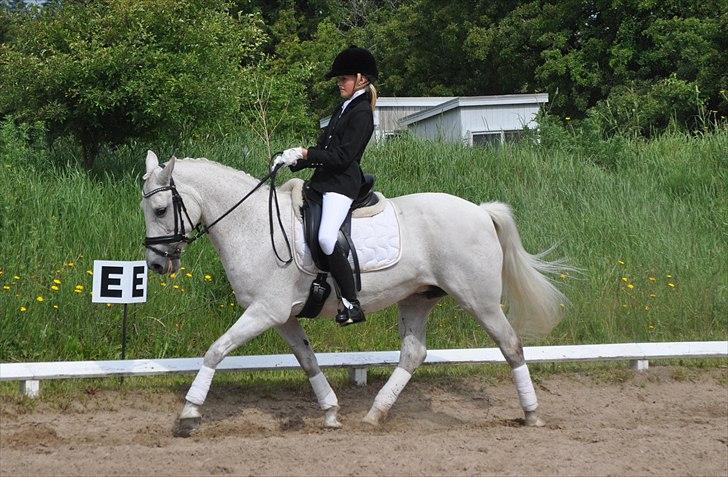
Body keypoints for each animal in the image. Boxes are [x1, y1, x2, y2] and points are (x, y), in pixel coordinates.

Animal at [139, 150, 564, 436]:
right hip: (417, 298)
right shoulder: (283, 316)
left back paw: (532, 414)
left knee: (511, 345)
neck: (252, 224)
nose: (157, 265)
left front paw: (189, 414)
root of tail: (479, 210)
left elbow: (216, 350)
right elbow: (307, 360)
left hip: (480, 300)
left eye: (159, 209)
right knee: (413, 353)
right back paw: (375, 414)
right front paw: (330, 412)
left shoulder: (266, 311)